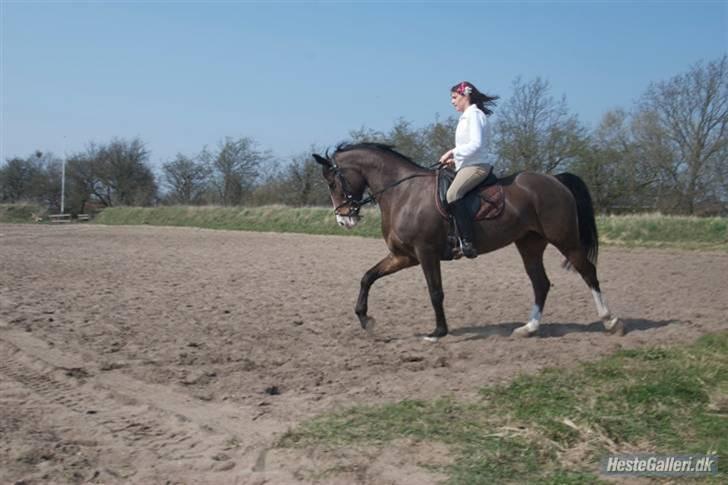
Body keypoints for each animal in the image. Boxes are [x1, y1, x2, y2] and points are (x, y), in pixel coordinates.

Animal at [310, 143, 624, 340]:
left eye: (332, 182)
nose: (344, 220)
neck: (403, 193)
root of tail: (555, 180)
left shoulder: (425, 253)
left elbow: (435, 292)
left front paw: (438, 332)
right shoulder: (404, 256)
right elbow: (367, 277)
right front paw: (365, 319)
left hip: (565, 239)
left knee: (588, 272)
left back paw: (610, 321)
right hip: (529, 244)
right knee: (541, 283)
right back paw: (529, 329)